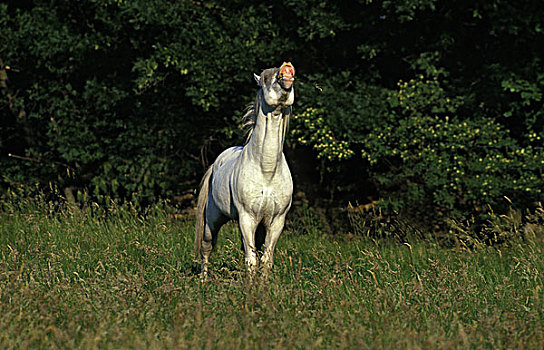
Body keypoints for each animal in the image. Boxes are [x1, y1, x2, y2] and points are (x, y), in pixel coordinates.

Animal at [196, 61, 296, 278]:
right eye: (264, 79)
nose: (286, 68)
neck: (267, 171)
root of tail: (216, 163)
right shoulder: (247, 218)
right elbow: (251, 261)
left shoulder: (276, 221)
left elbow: (265, 260)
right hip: (213, 219)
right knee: (207, 247)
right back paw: (203, 280)